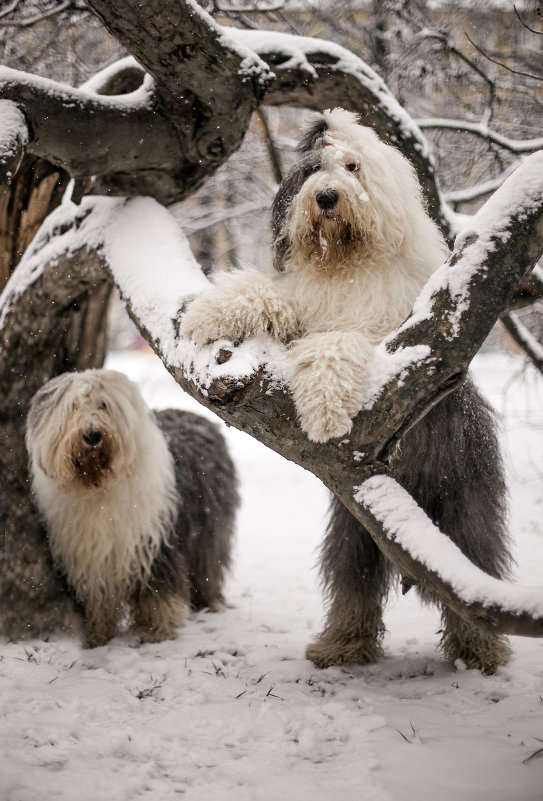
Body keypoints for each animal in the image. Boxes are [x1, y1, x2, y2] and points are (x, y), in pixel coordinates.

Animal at [26, 366, 238, 648]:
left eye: (103, 405)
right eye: (73, 407)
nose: (92, 435)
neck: (98, 487)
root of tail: (201, 419)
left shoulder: (152, 540)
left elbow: (158, 590)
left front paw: (157, 629)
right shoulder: (89, 556)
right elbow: (98, 598)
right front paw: (98, 635)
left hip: (208, 524)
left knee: (209, 563)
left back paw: (211, 602)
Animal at [183, 109, 516, 672]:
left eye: (353, 167)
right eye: (313, 170)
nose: (325, 198)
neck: (344, 262)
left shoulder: (385, 330)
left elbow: (335, 343)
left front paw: (323, 414)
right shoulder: (303, 303)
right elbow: (265, 294)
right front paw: (206, 311)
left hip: (463, 502)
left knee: (474, 574)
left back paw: (481, 651)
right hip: (353, 521)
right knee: (353, 581)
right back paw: (340, 645)